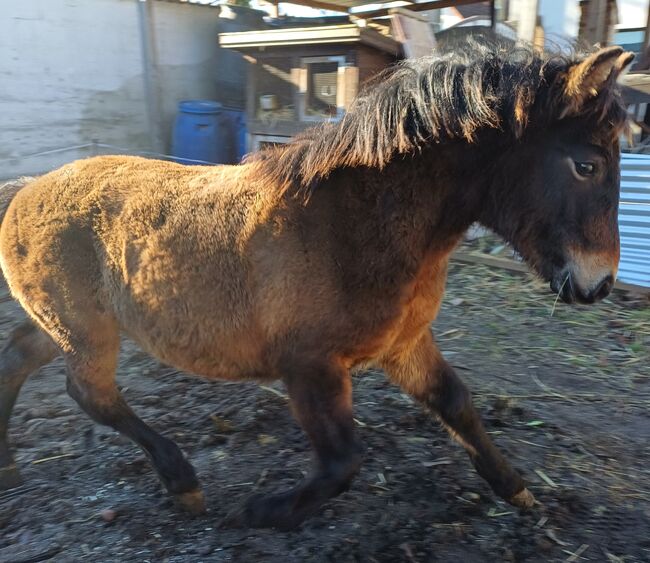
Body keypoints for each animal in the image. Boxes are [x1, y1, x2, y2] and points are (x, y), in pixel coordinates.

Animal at [0, 43, 628, 528]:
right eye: (587, 165)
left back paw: (9, 466)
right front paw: (261, 513)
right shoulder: (308, 367)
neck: (353, 222)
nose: (598, 284)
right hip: (85, 331)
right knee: (91, 393)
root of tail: (27, 188)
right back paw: (183, 481)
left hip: (60, 326)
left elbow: (457, 405)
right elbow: (341, 463)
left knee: (18, 359)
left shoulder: (403, 346)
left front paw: (515, 487)